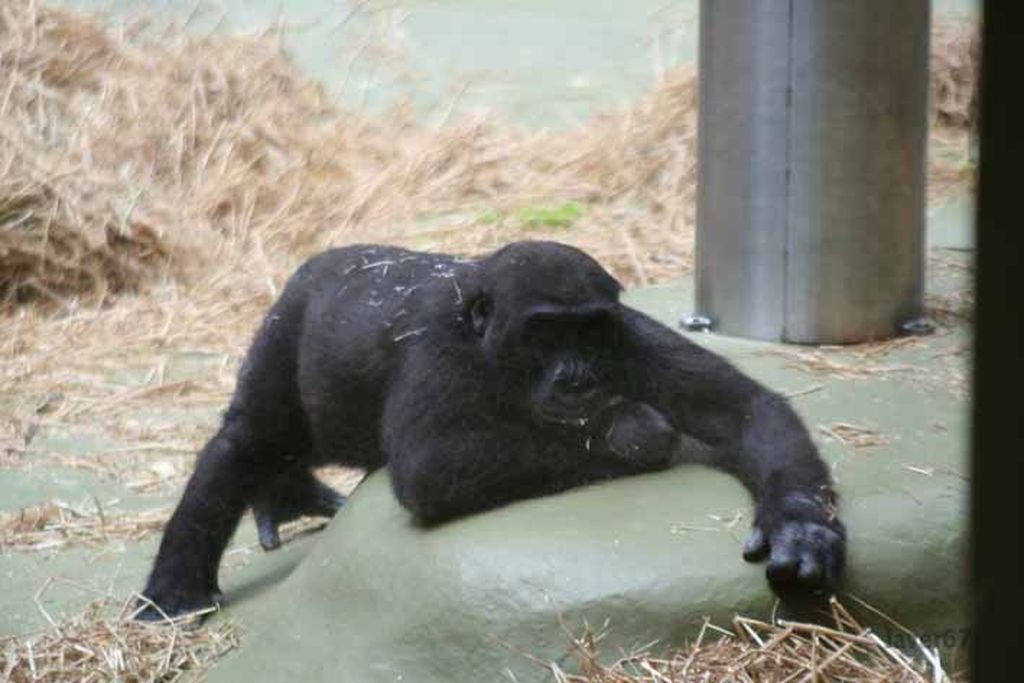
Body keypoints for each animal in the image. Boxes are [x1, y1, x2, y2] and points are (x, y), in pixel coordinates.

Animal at [136, 240, 843, 618]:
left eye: (587, 329)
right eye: (544, 332)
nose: (578, 377)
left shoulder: (629, 336)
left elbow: (745, 410)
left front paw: (801, 526)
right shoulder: (436, 350)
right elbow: (432, 466)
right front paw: (634, 429)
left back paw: (282, 497)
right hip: (289, 315)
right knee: (246, 440)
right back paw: (176, 590)